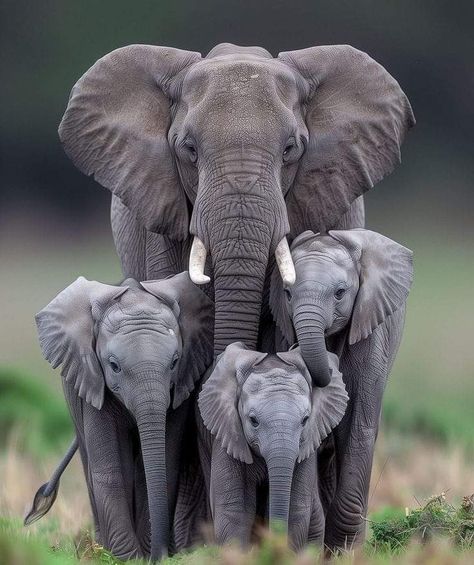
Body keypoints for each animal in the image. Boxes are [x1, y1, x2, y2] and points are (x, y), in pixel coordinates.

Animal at [30, 272, 213, 560]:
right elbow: (110, 470)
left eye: (175, 362)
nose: (159, 556)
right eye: (114, 366)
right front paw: (125, 558)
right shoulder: (93, 380)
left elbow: (164, 462)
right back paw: (99, 546)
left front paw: (144, 554)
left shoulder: (181, 385)